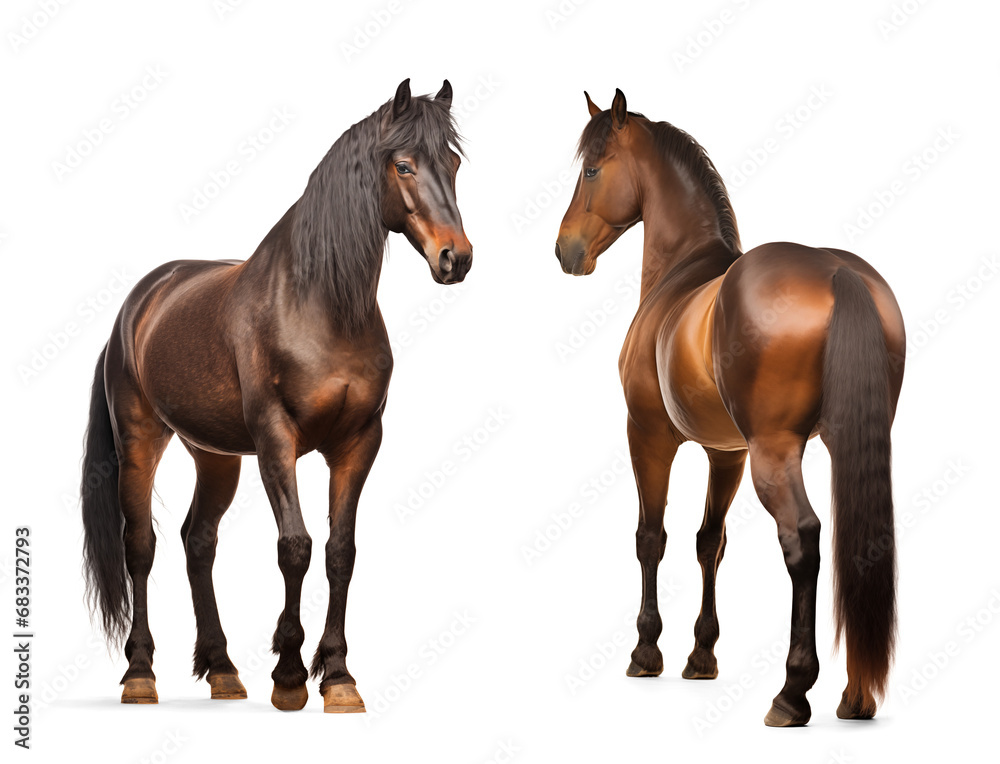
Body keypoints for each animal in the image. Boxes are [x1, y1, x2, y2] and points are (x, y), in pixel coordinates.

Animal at [80, 79, 472, 713]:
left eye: (454, 163)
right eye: (404, 165)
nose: (455, 258)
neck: (321, 306)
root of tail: (139, 304)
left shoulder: (359, 442)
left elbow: (340, 552)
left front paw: (337, 676)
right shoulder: (275, 439)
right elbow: (296, 546)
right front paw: (289, 675)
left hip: (215, 456)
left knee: (198, 541)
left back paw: (222, 669)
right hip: (141, 440)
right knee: (140, 545)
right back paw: (140, 674)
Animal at [554, 89, 904, 726]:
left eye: (591, 169)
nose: (566, 249)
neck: (682, 271)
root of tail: (838, 272)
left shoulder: (648, 436)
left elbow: (651, 537)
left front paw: (647, 652)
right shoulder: (727, 455)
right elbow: (708, 542)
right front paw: (701, 655)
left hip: (774, 455)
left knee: (803, 538)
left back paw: (792, 693)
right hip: (844, 445)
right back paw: (855, 697)